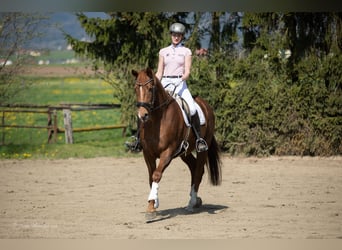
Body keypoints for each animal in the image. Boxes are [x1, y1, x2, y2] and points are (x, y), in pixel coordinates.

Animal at [131, 68, 222, 219]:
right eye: (136, 89)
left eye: (150, 89)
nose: (142, 115)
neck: (157, 121)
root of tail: (205, 104)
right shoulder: (148, 154)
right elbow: (151, 177)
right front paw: (153, 204)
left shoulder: (167, 152)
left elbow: (156, 175)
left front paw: (151, 207)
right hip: (184, 152)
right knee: (193, 168)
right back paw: (196, 200)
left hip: (203, 147)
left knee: (198, 170)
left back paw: (191, 203)